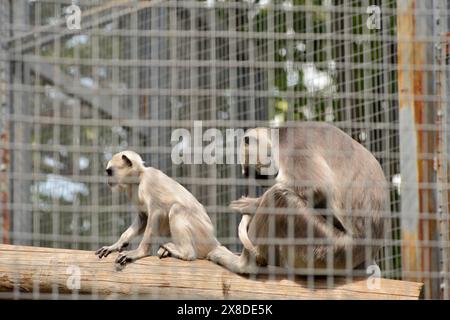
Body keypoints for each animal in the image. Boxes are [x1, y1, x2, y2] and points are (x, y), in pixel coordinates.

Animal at [209, 121, 388, 274]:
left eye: (261, 174)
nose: (268, 180)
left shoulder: (294, 144)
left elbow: (316, 187)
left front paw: (252, 205)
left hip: (332, 247)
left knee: (280, 196)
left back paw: (245, 265)